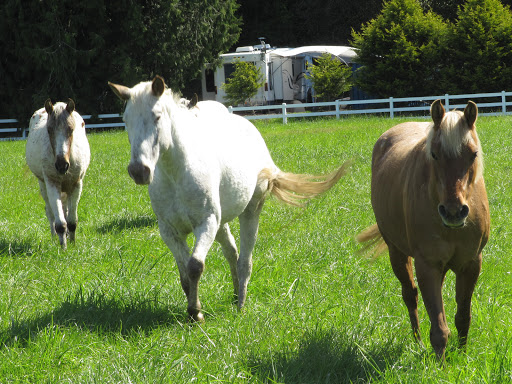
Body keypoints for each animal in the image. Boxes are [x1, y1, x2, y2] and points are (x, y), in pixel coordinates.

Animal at [26, 99, 91, 249]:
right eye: (49, 130)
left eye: (71, 129)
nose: (62, 165)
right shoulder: (51, 183)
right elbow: (60, 222)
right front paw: (63, 248)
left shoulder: (76, 185)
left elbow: (71, 221)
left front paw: (72, 244)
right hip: (43, 185)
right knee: (50, 213)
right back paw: (54, 237)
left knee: (65, 209)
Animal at [107, 76, 348, 320]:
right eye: (125, 119)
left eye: (157, 116)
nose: (139, 171)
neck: (176, 174)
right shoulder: (169, 231)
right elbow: (184, 274)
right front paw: (192, 309)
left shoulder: (206, 223)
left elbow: (195, 266)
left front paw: (196, 313)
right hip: (221, 224)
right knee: (232, 253)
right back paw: (233, 295)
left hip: (249, 212)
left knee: (244, 260)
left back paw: (240, 304)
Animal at [356, 100, 492, 360]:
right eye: (434, 154)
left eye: (473, 154)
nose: (453, 212)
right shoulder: (426, 265)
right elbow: (439, 328)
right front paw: (440, 364)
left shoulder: (471, 264)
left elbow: (463, 317)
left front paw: (462, 356)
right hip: (397, 253)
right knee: (410, 295)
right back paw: (417, 342)